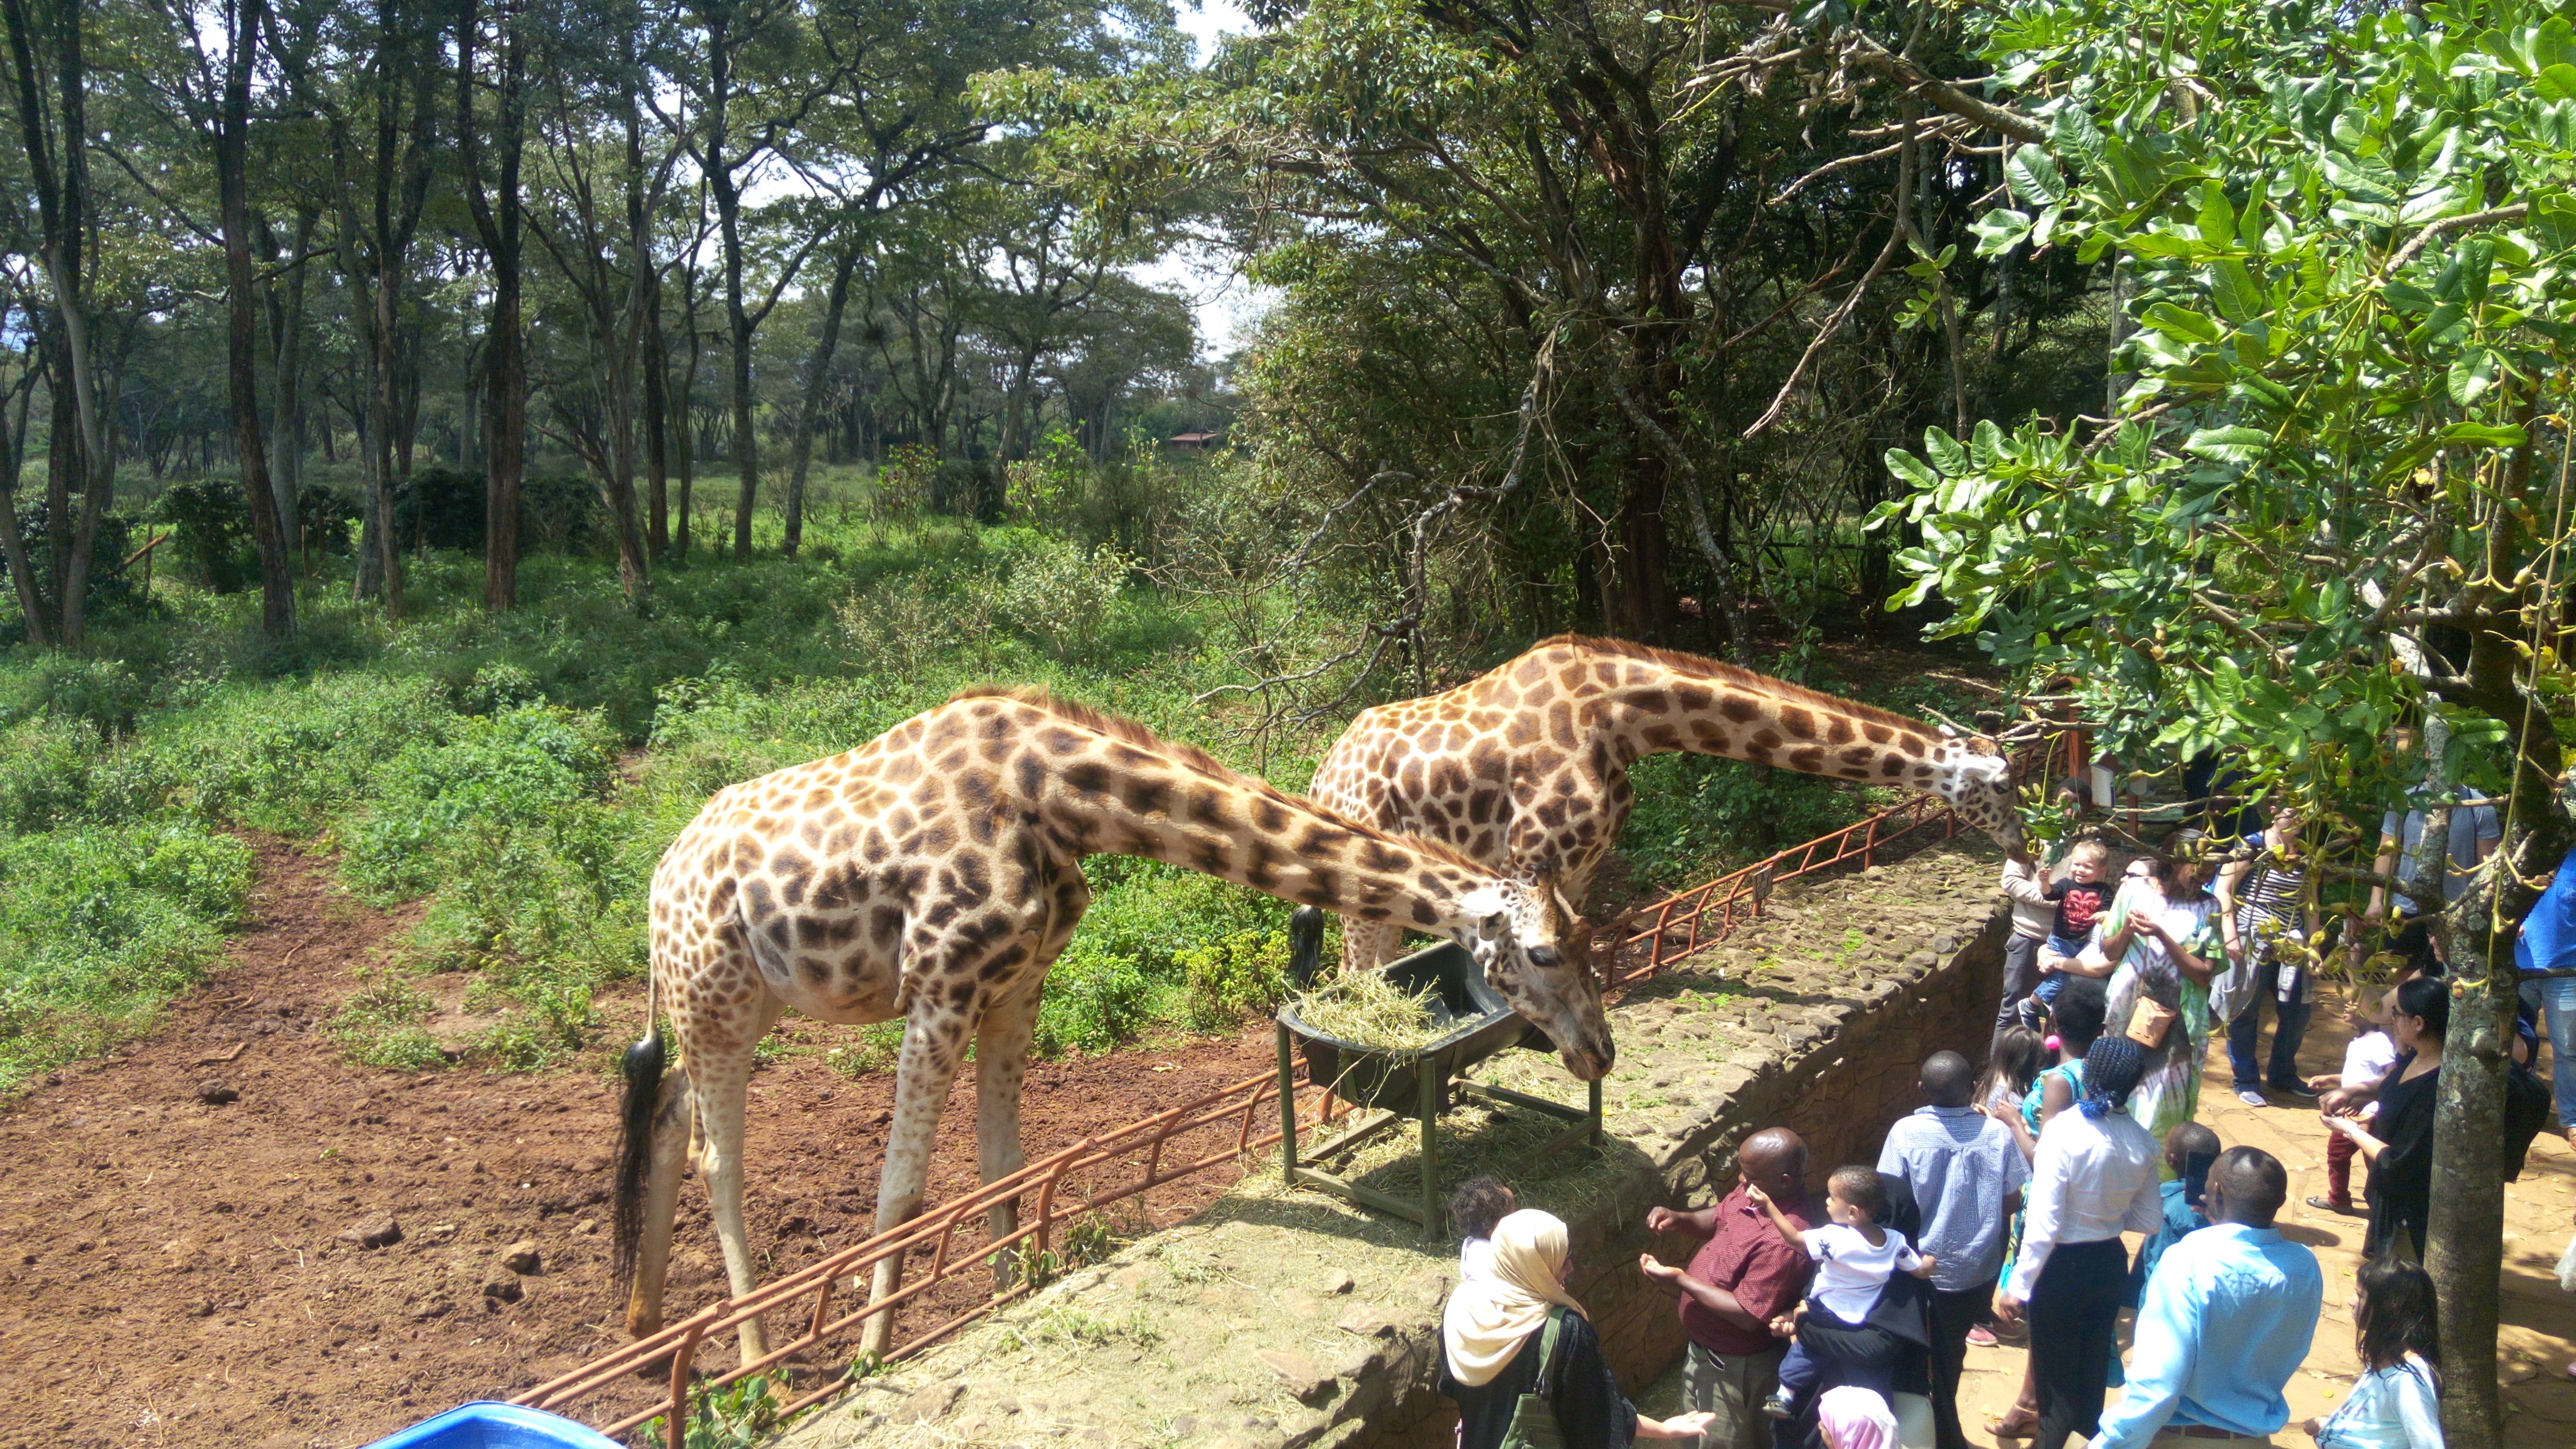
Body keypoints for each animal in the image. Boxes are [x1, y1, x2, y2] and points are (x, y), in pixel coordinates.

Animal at [613, 684, 1613, 1364]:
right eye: (1545, 954)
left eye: (1584, 937)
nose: (1599, 1051)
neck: (1056, 797)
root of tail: (657, 881)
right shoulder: (938, 986)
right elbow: (902, 1189)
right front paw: (869, 1353)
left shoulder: (1015, 985)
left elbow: (1001, 1165)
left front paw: (1010, 1292)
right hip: (717, 996)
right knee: (718, 1157)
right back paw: (755, 1366)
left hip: (734, 1000)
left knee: (667, 1111)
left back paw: (644, 1317)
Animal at [1309, 634, 2029, 970]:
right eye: (2002, 786)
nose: (2024, 850)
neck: (1620, 722)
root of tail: (1322, 777)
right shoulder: (1528, 857)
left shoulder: (1583, 863)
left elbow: (1583, 943)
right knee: (1355, 972)